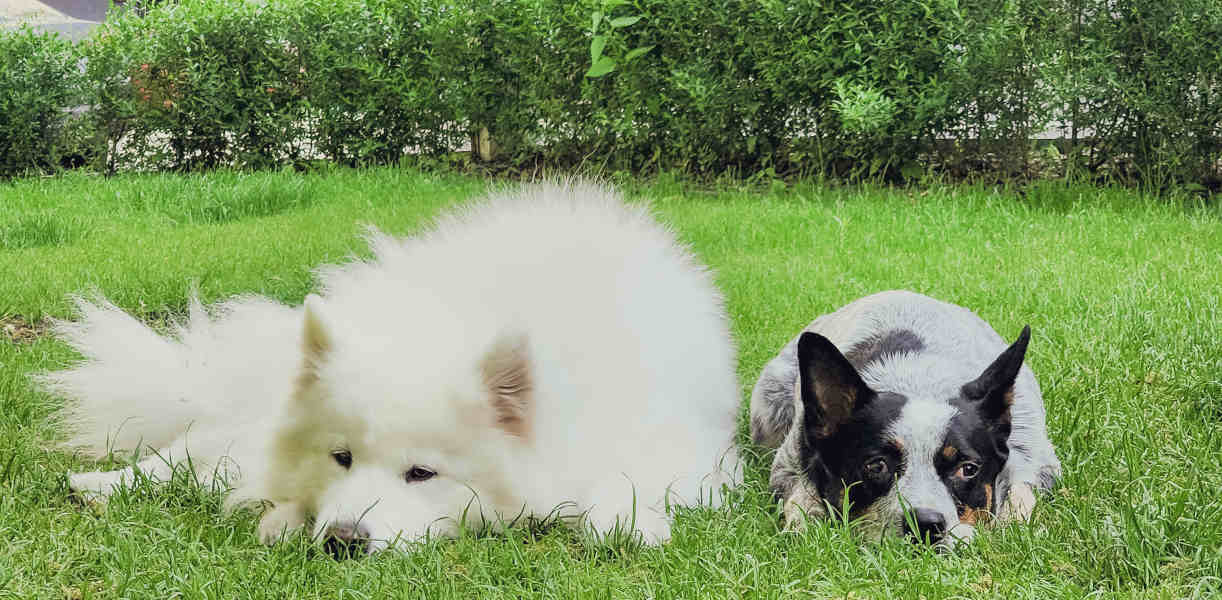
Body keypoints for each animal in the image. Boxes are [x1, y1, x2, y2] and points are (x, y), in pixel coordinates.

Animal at [43, 182, 738, 554]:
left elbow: (623, 483)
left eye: (422, 473)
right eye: (342, 457)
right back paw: (98, 483)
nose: (343, 541)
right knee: (195, 452)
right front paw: (284, 516)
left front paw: (626, 521)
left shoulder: (676, 440)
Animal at [747, 290, 1055, 549]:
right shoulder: (788, 463)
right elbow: (800, 498)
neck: (920, 381)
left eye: (968, 469)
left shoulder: (1037, 461)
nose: (925, 524)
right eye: (876, 465)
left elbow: (1020, 497)